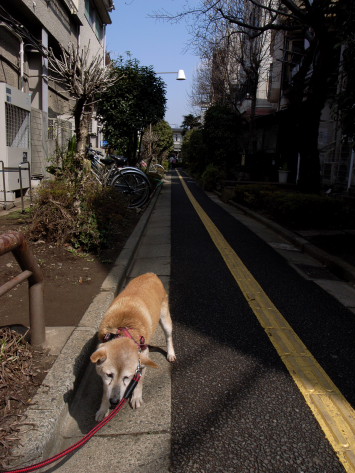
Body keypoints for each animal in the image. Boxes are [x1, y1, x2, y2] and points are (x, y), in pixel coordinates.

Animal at [90, 272, 177, 420]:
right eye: (109, 375)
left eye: (127, 377)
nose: (114, 402)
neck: (123, 331)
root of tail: (151, 274)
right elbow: (105, 391)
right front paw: (103, 408)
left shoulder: (142, 361)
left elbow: (139, 381)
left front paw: (136, 397)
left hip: (165, 319)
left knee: (169, 337)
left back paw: (171, 353)